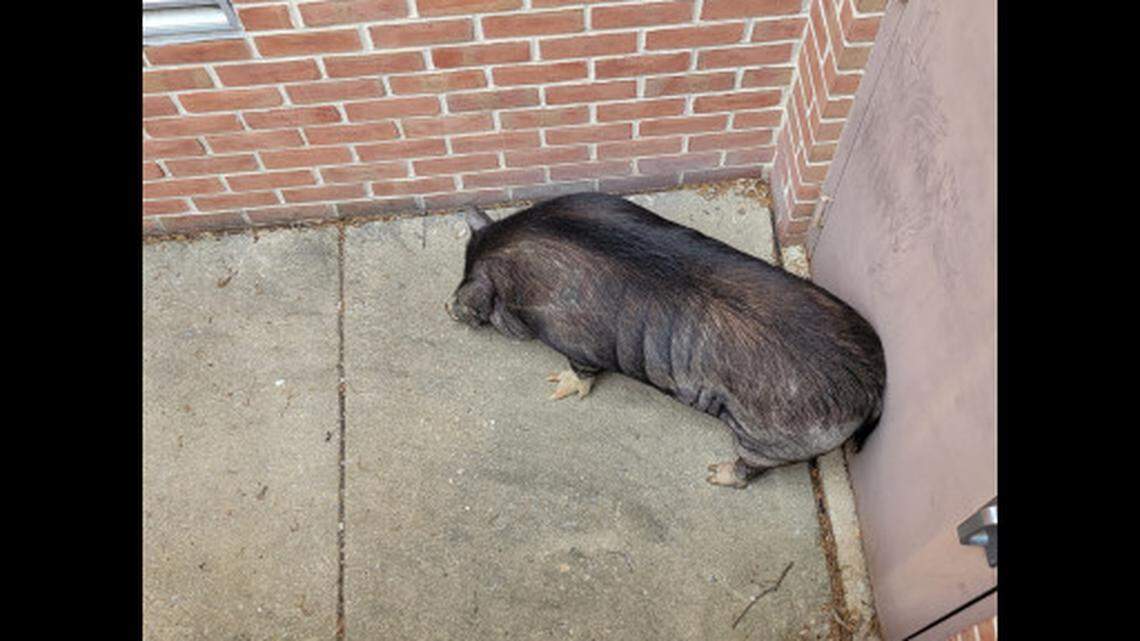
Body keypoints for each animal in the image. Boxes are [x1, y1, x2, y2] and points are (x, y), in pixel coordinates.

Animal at [445, 193, 885, 489]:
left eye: (468, 288)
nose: (448, 306)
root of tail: (873, 382)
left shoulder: (577, 341)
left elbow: (582, 371)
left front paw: (558, 387)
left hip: (775, 438)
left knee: (754, 465)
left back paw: (715, 474)